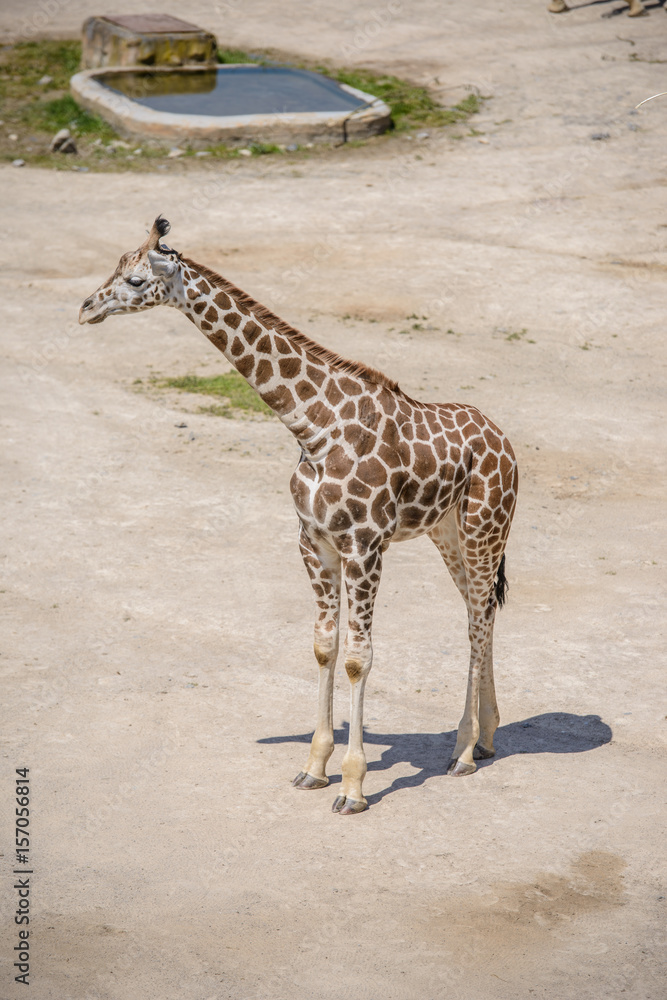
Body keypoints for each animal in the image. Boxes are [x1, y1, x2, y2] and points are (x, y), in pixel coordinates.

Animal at [79, 217, 518, 815]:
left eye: (135, 279)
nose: (85, 309)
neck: (313, 427)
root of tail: (506, 441)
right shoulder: (314, 541)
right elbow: (323, 647)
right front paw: (313, 767)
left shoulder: (364, 546)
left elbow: (358, 656)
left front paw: (353, 787)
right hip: (447, 533)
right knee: (480, 611)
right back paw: (487, 737)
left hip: (484, 527)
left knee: (476, 619)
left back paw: (465, 752)